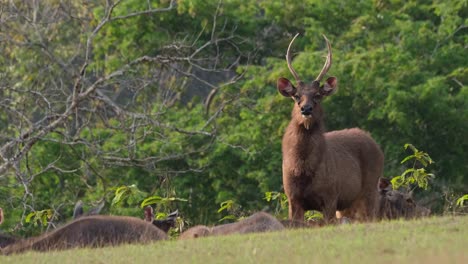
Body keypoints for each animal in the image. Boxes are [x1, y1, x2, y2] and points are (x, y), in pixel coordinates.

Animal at [278, 33, 384, 223]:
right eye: (296, 96)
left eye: (318, 95)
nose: (306, 109)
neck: (302, 169)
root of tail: (375, 144)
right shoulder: (292, 198)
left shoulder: (330, 196)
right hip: (349, 204)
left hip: (370, 188)